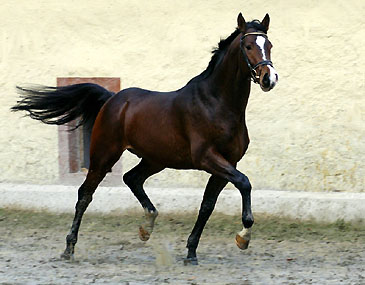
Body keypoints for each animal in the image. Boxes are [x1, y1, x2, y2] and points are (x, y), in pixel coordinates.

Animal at [12, 12, 278, 262]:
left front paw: (191, 252)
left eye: (270, 44)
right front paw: (243, 237)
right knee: (85, 195)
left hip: (155, 159)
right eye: (248, 46)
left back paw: (147, 226)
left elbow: (207, 205)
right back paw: (69, 249)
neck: (217, 103)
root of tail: (112, 99)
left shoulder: (227, 162)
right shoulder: (207, 158)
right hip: (104, 155)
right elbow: (244, 182)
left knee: (132, 178)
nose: (269, 78)